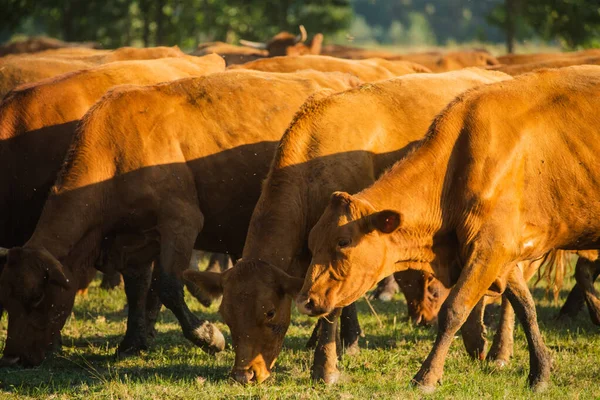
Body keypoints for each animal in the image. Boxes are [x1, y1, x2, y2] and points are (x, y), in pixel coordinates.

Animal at [0, 68, 358, 366]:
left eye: (36, 297)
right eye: (6, 301)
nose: (13, 358)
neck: (116, 149)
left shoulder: (181, 221)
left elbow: (169, 286)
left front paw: (209, 337)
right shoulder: (134, 239)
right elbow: (138, 289)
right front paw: (132, 343)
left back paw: (346, 342)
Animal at [184, 68, 510, 384]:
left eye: (270, 312)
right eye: (227, 316)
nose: (244, 375)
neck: (312, 165)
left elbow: (335, 306)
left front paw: (326, 367)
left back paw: (496, 350)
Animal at [298, 65, 600, 390]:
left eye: (342, 241)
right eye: (312, 242)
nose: (306, 301)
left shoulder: (490, 250)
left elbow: (454, 310)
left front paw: (427, 376)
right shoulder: (500, 256)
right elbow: (525, 308)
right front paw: (540, 372)